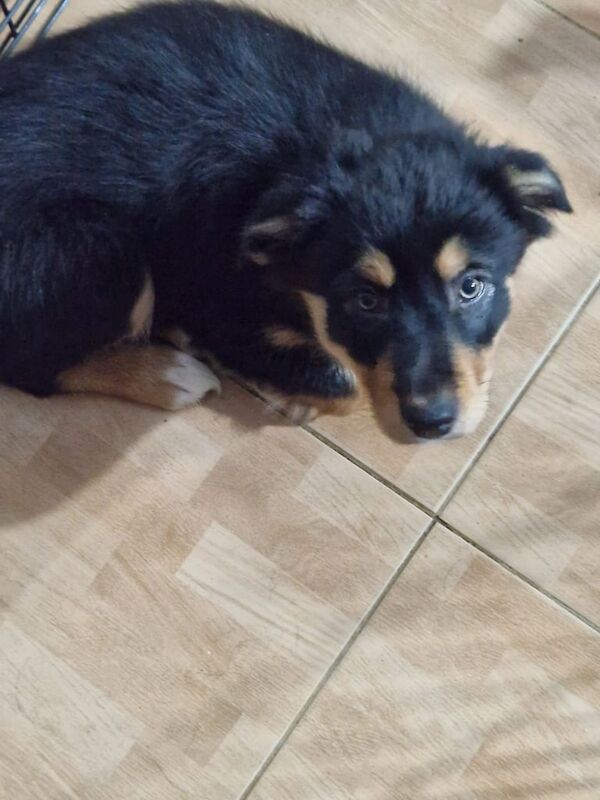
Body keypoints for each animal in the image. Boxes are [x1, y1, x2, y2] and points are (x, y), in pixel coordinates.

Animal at [0, 0, 572, 438]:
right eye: (364, 301)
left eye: (472, 287)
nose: (432, 424)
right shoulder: (211, 298)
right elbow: (344, 381)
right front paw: (298, 392)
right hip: (102, 248)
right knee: (31, 368)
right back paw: (172, 374)